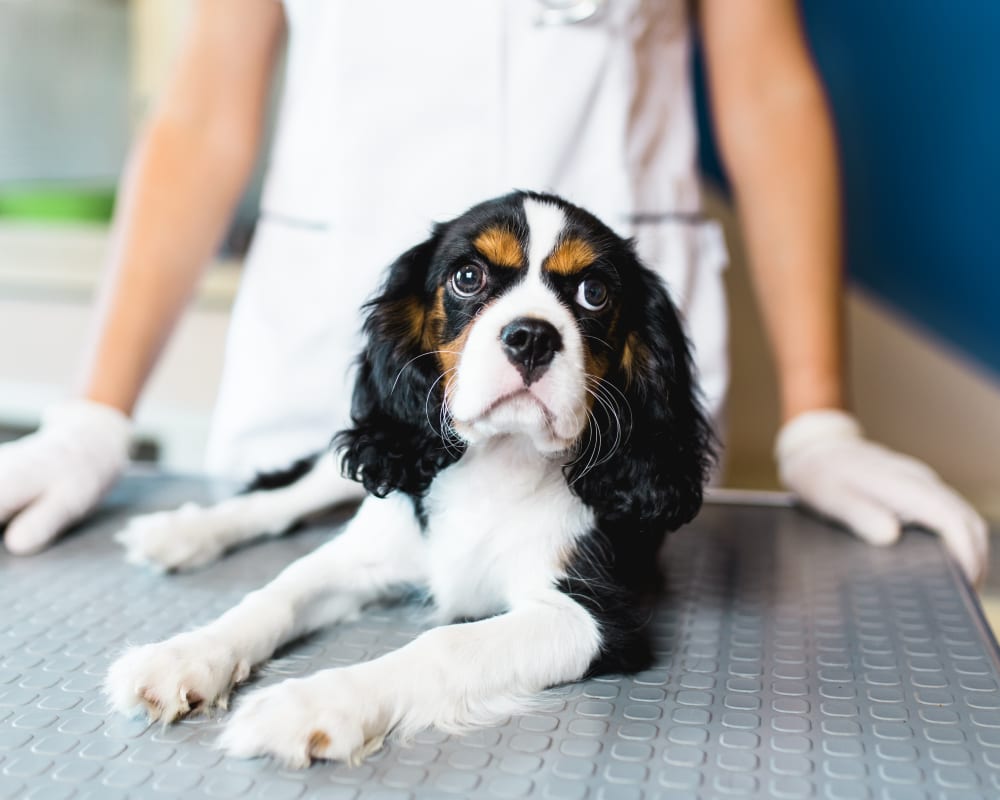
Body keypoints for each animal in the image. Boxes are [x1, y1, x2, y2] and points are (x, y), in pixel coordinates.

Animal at [105, 191, 716, 764]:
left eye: (595, 292)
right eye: (468, 278)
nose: (532, 337)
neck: (500, 460)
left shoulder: (592, 617)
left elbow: (444, 645)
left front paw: (310, 705)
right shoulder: (362, 552)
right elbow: (278, 593)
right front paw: (182, 657)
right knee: (281, 497)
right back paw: (180, 533)